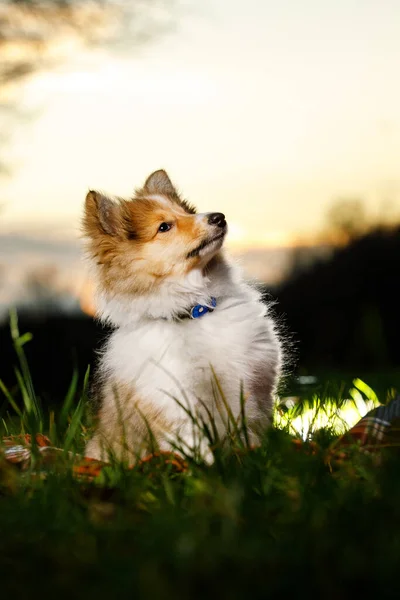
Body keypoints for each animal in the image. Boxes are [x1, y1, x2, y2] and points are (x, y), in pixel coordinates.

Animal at [82, 171, 282, 462]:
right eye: (164, 227)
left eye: (188, 211)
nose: (219, 217)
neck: (195, 311)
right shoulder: (177, 405)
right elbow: (199, 449)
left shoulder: (252, 389)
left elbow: (251, 435)